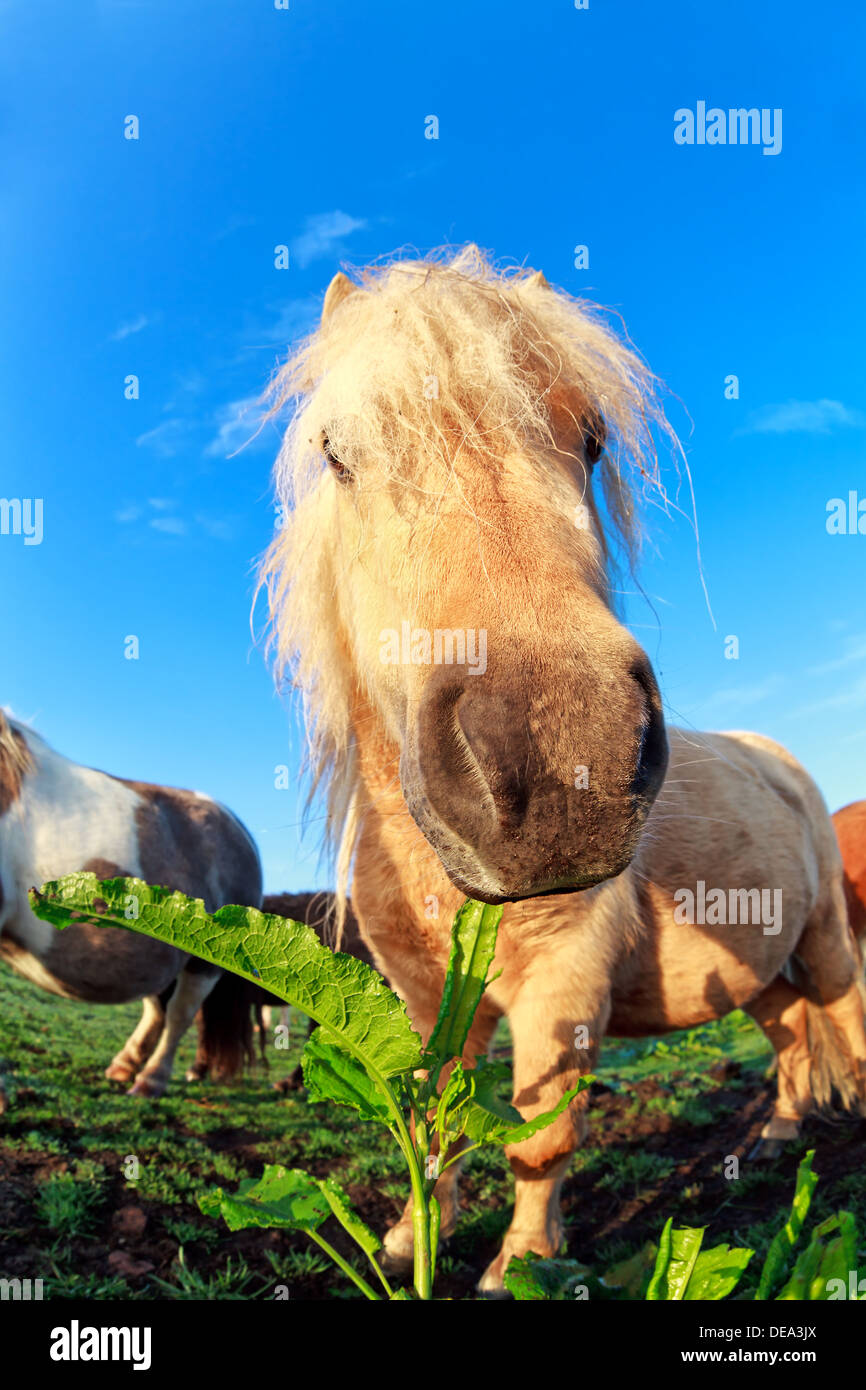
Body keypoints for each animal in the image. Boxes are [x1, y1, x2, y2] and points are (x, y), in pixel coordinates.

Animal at [0, 711, 264, 1100]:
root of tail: (240, 830)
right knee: (156, 1009)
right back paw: (124, 1066)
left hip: (205, 963)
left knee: (179, 1015)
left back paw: (150, 1081)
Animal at [262, 241, 866, 1289]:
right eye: (338, 455)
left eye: (590, 442)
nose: (561, 763)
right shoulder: (426, 1001)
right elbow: (429, 1126)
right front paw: (411, 1240)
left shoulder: (565, 985)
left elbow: (540, 1139)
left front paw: (520, 1266)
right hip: (766, 967)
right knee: (792, 1037)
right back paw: (780, 1138)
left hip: (827, 938)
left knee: (849, 1023)